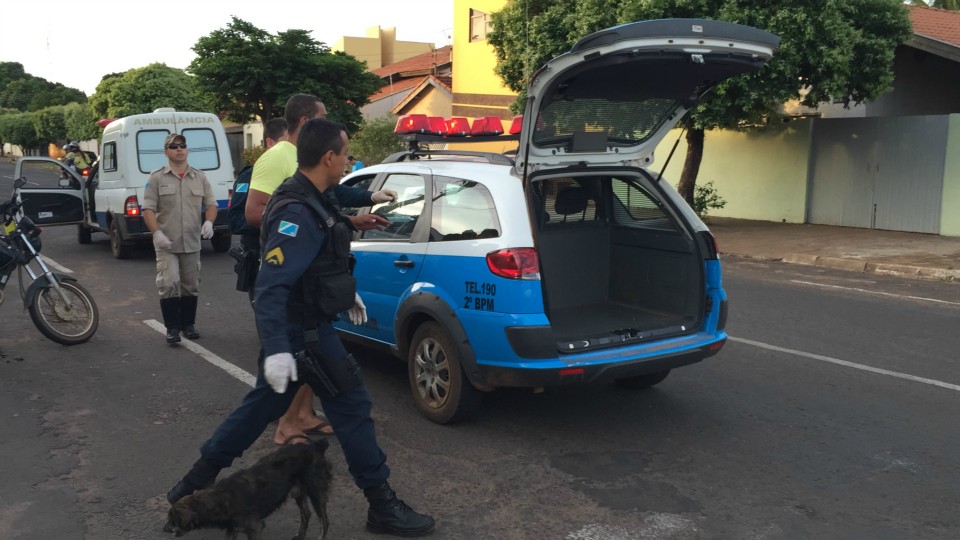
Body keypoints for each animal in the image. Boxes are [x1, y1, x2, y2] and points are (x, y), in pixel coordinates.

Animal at [163, 438, 332, 540]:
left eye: (172, 519)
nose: (164, 529)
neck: (220, 500)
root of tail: (317, 445)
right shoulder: (232, 530)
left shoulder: (255, 528)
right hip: (298, 492)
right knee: (306, 513)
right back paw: (300, 535)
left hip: (316, 492)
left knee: (324, 521)